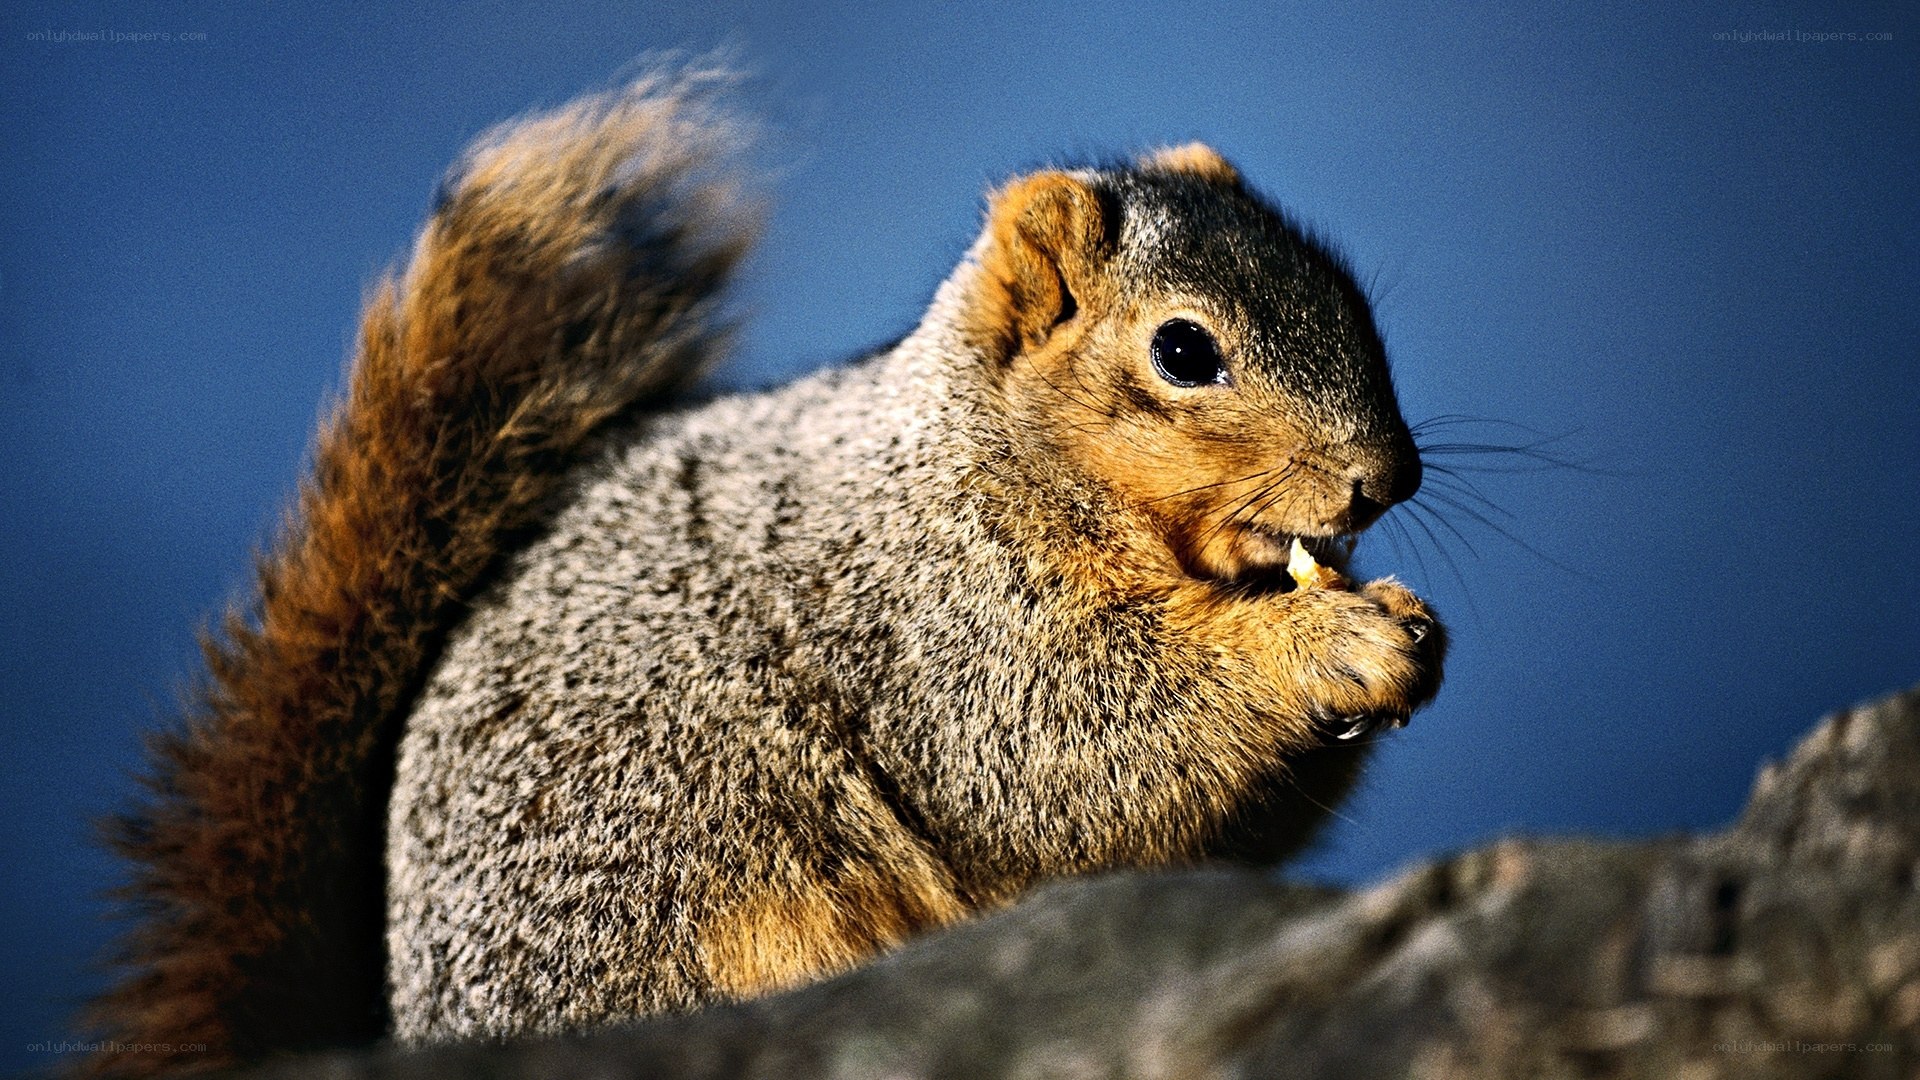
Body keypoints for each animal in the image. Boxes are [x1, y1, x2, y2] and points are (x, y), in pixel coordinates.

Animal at [86, 68, 1443, 1073]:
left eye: (1347, 291)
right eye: (1183, 351)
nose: (1383, 479)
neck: (983, 454)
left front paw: (1411, 635)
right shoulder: (938, 622)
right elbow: (1076, 753)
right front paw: (1337, 643)